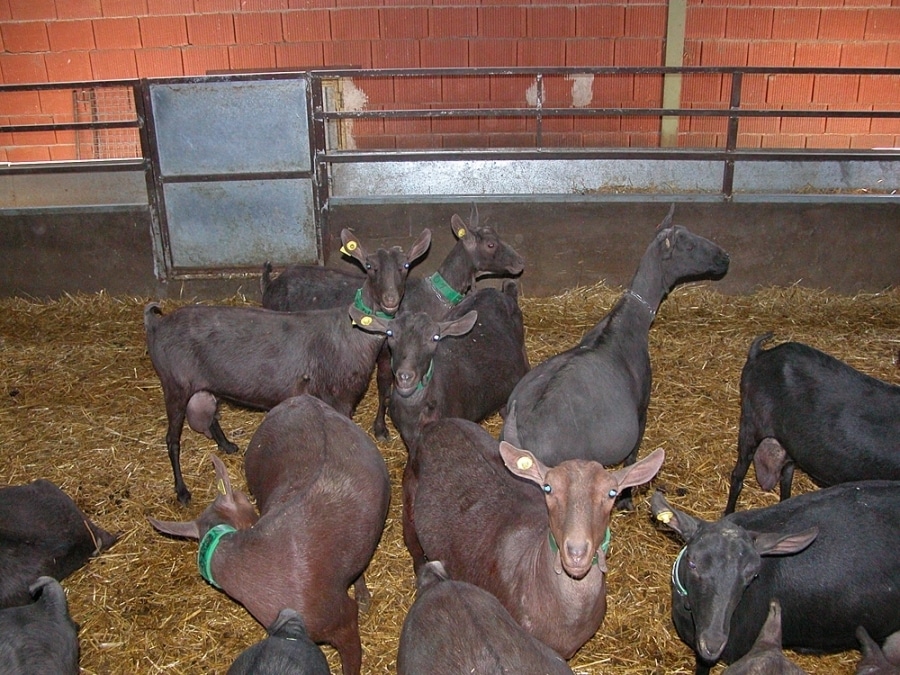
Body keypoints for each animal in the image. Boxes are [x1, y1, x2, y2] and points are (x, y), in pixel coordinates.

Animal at [145, 230, 432, 504]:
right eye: (370, 266)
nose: (390, 299)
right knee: (171, 439)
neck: (351, 332)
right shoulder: (339, 397)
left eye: (405, 265)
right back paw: (182, 491)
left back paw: (227, 446)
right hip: (174, 384)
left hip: (203, 383)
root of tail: (155, 325)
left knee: (211, 414)